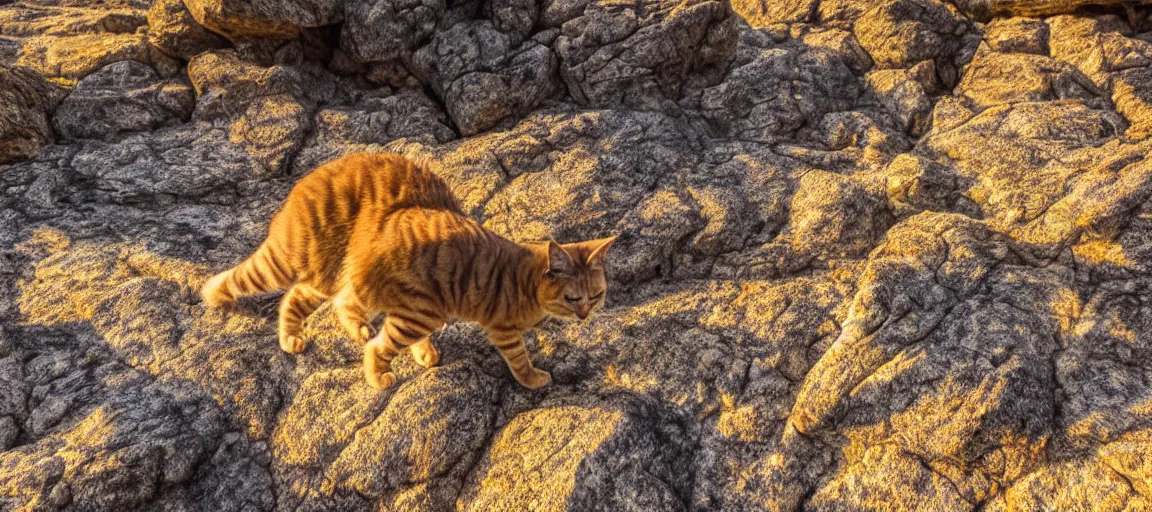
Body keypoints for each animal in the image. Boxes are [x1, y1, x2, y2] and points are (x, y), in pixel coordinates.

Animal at [200, 151, 612, 387]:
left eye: (596, 295)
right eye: (573, 297)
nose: (585, 315)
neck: (523, 278)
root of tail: (311, 176)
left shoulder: (411, 307)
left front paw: (423, 354)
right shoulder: (502, 330)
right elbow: (520, 360)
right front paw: (533, 379)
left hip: (334, 274)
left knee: (298, 298)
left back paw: (292, 338)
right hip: (404, 299)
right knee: (357, 325)